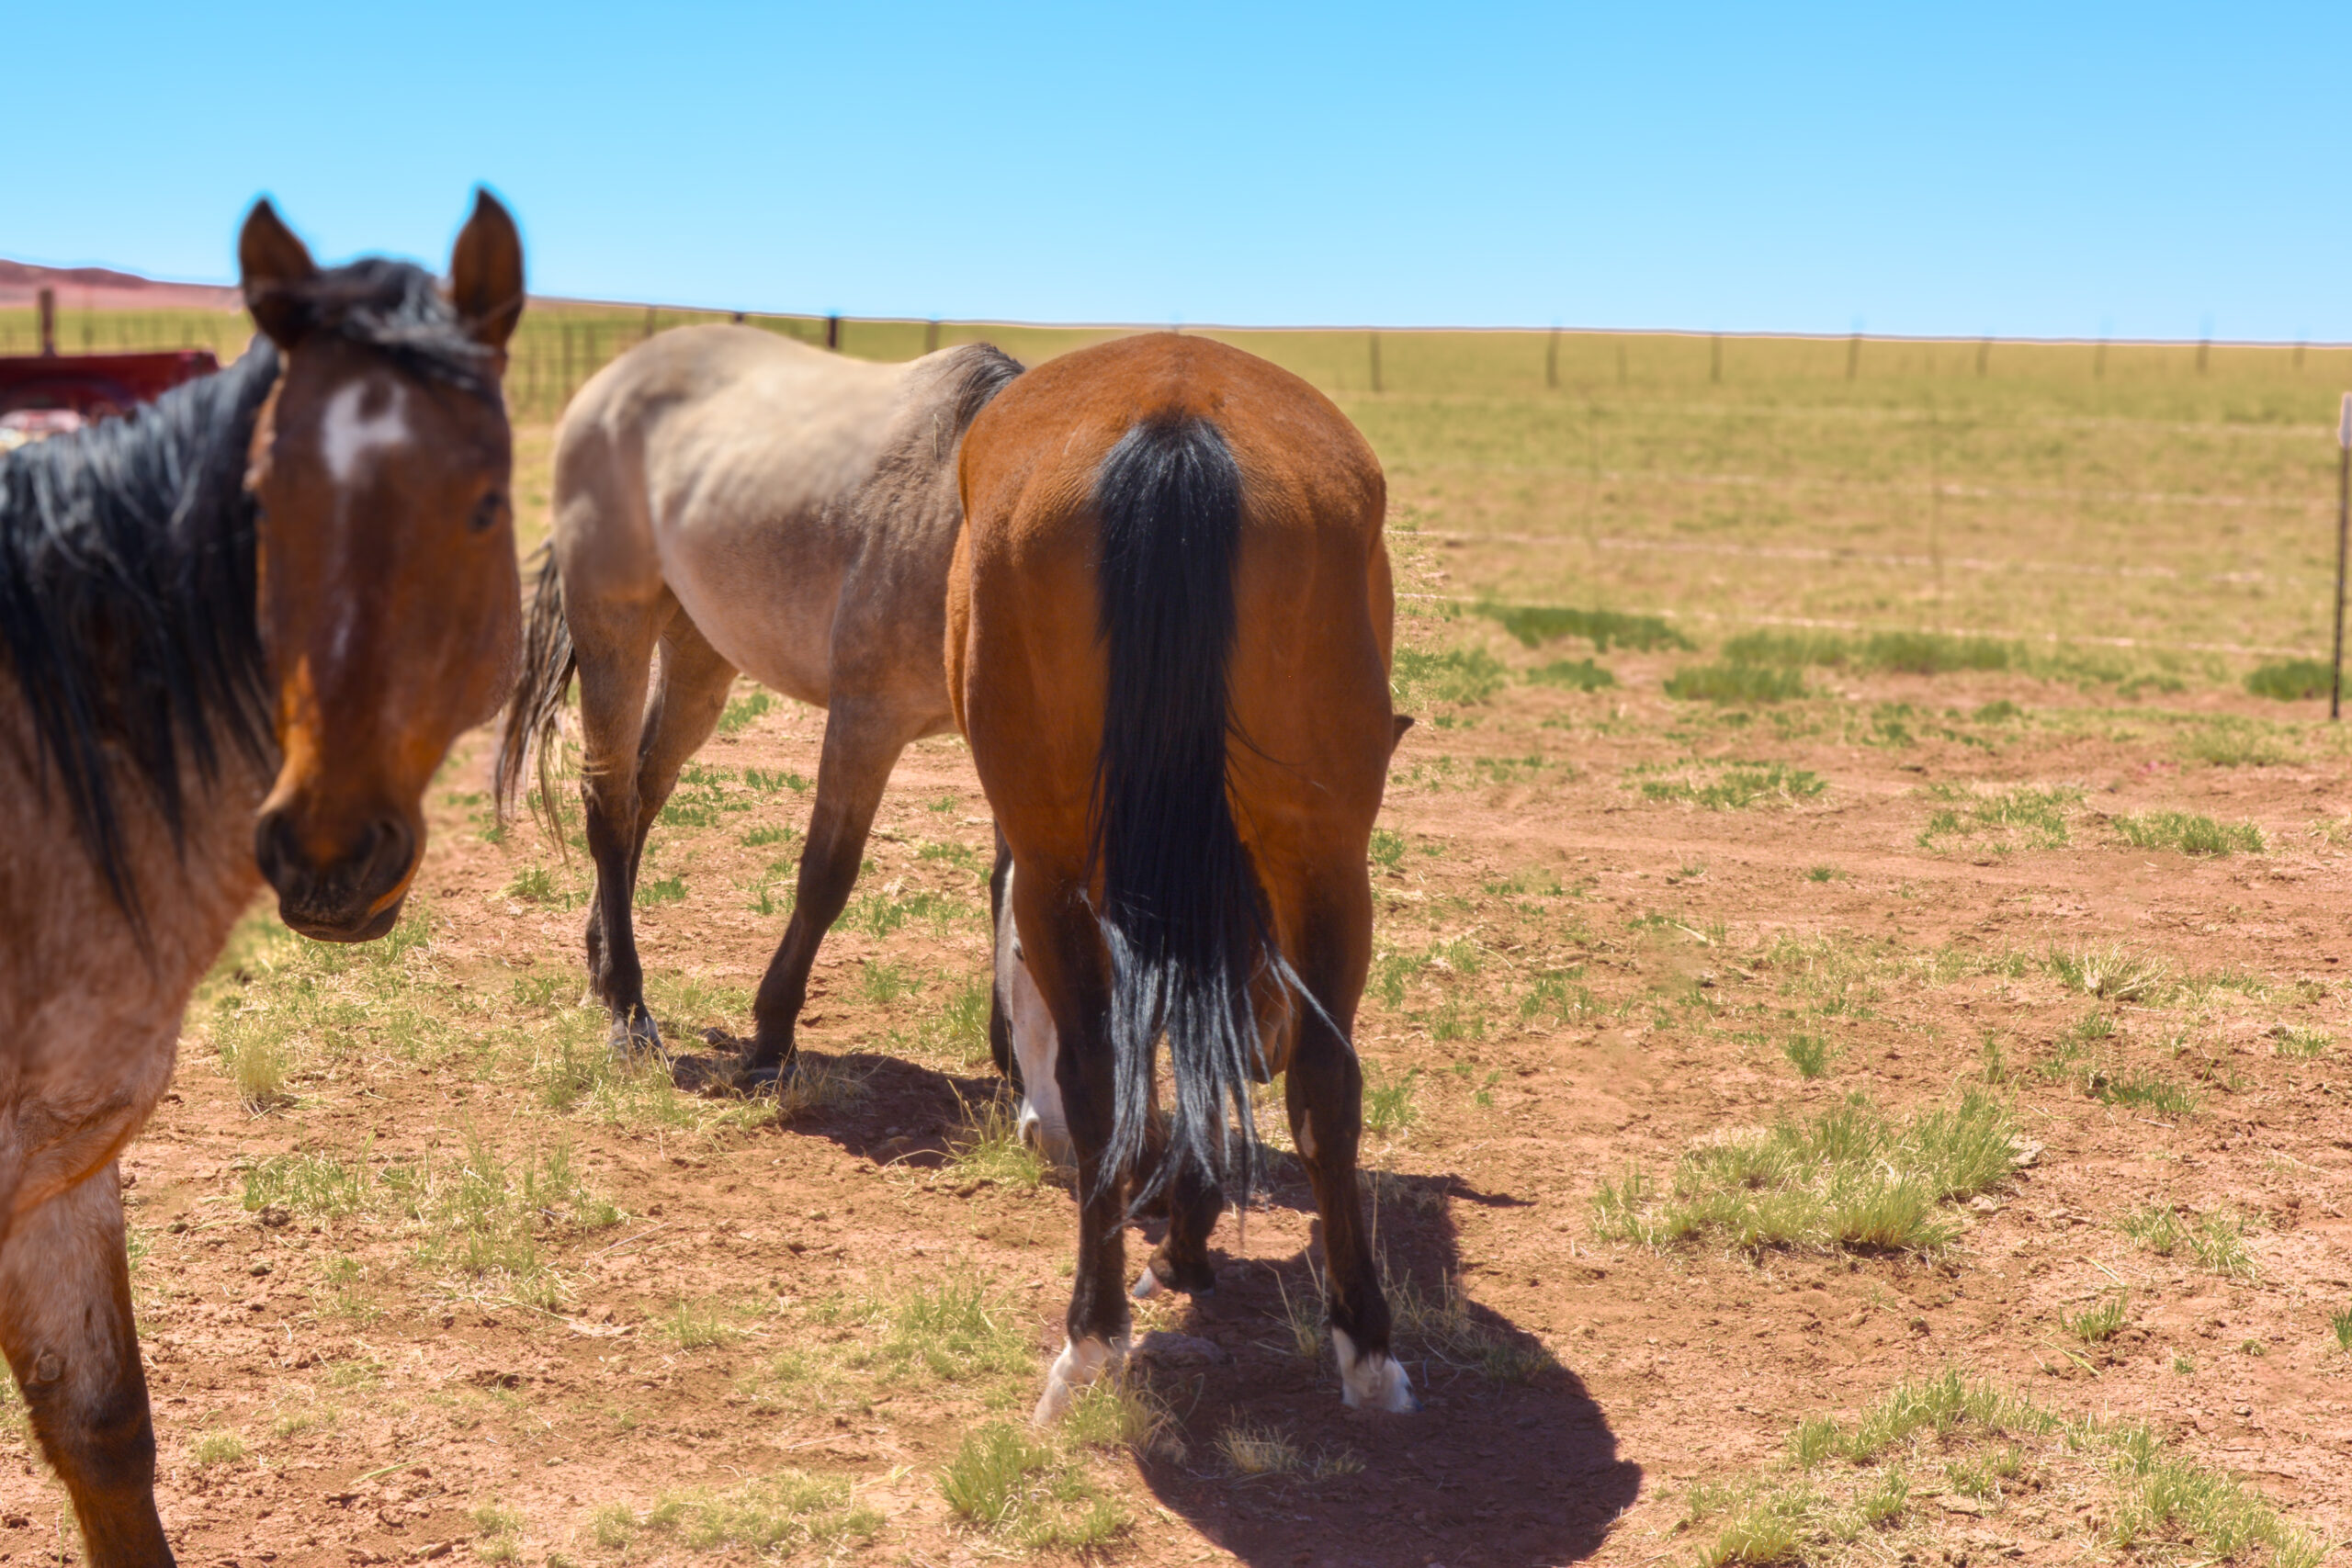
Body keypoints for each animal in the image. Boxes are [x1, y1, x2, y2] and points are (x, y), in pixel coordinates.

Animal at [496, 326, 1025, 1086]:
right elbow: (826, 875)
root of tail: (614, 379)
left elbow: (1008, 886)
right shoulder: (866, 721)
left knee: (644, 790)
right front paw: (772, 1037)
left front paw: (1016, 1056)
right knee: (610, 806)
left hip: (699, 656)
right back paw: (629, 1010)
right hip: (614, 638)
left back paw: (603, 964)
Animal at [947, 331, 1421, 1422]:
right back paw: (1364, 1347)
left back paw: (1092, 1336)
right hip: (1325, 858)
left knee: (1098, 1082)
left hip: (1057, 864)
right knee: (1326, 1080)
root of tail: (1175, 418)